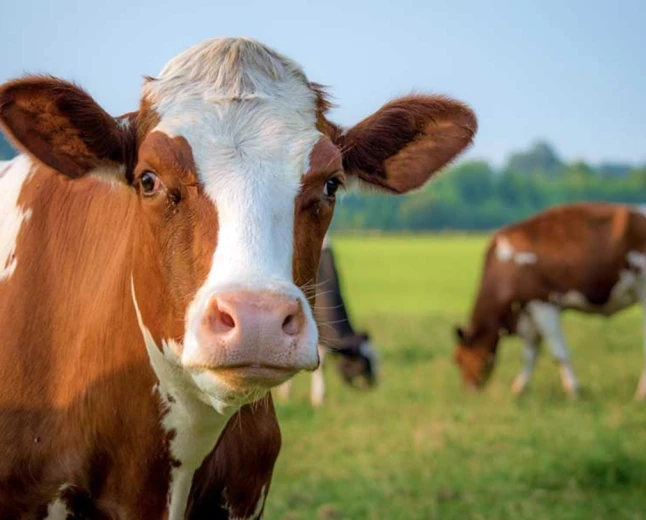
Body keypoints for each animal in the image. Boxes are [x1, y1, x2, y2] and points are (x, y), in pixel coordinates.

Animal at [454, 202, 646, 400]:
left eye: (458, 359)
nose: (468, 390)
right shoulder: (527, 312)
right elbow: (530, 354)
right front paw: (519, 389)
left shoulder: (542, 304)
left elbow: (558, 352)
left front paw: (573, 392)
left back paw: (640, 394)